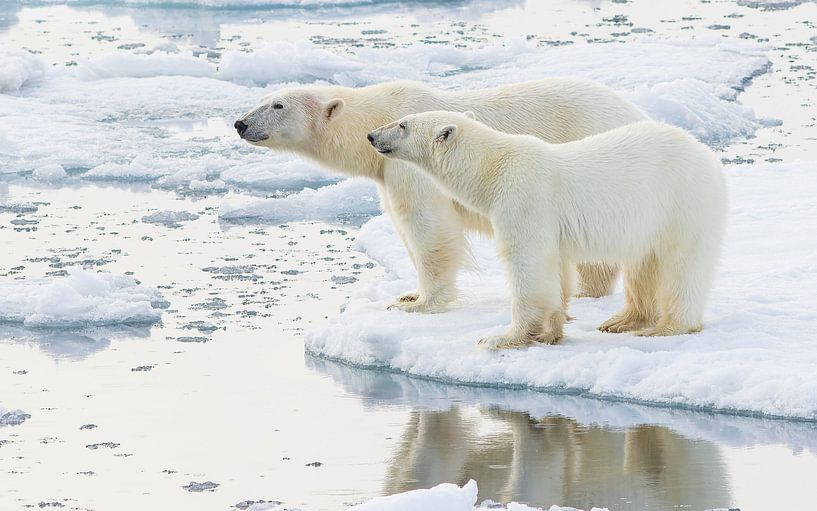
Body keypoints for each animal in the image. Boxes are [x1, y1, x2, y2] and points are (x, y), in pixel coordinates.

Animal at [233, 80, 648, 312]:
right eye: (267, 98)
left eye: (278, 105)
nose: (240, 123)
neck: (378, 115)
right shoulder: (386, 170)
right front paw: (408, 295)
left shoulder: (411, 162)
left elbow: (426, 226)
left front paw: (422, 304)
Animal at [370, 111, 728, 350]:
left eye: (402, 124)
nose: (372, 136)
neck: (493, 169)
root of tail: (709, 157)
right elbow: (556, 269)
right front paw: (551, 331)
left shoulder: (523, 201)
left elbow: (528, 265)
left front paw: (501, 337)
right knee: (644, 266)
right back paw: (621, 321)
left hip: (682, 205)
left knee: (681, 268)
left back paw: (665, 328)